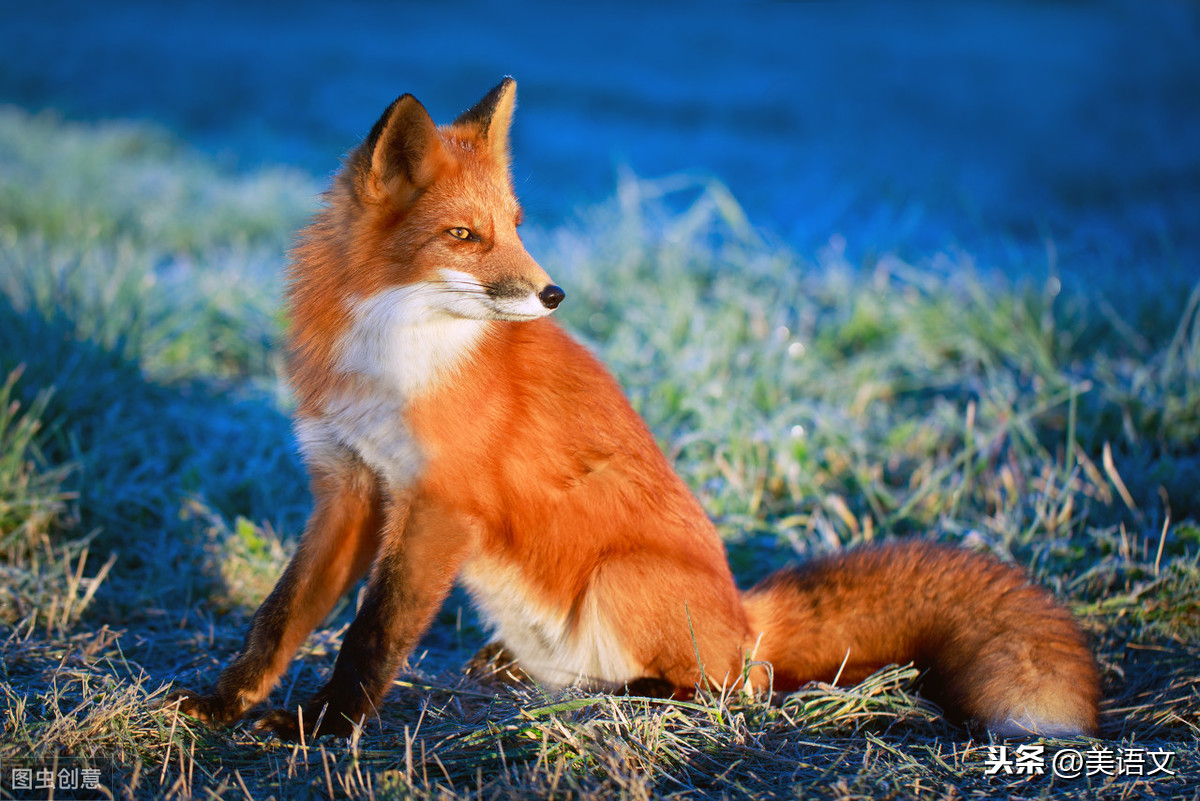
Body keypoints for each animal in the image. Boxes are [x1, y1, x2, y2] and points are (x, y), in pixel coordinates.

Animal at [169, 79, 1099, 738]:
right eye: (465, 236)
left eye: (516, 223)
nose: (553, 293)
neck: (391, 356)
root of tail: (745, 613)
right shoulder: (349, 488)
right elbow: (279, 616)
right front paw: (224, 703)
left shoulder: (439, 504)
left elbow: (375, 633)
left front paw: (323, 727)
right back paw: (528, 673)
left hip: (622, 578)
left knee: (741, 686)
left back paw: (645, 694)